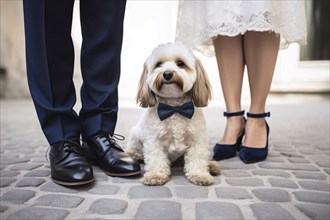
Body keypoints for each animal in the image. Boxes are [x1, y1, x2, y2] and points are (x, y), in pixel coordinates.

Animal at [125, 43, 219, 186]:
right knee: (134, 150)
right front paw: (156, 175)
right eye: (158, 64)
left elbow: (197, 158)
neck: (174, 108)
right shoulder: (154, 140)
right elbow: (156, 158)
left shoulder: (198, 139)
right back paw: (136, 155)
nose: (167, 73)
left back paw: (212, 166)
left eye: (180, 63)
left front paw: (199, 175)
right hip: (135, 136)